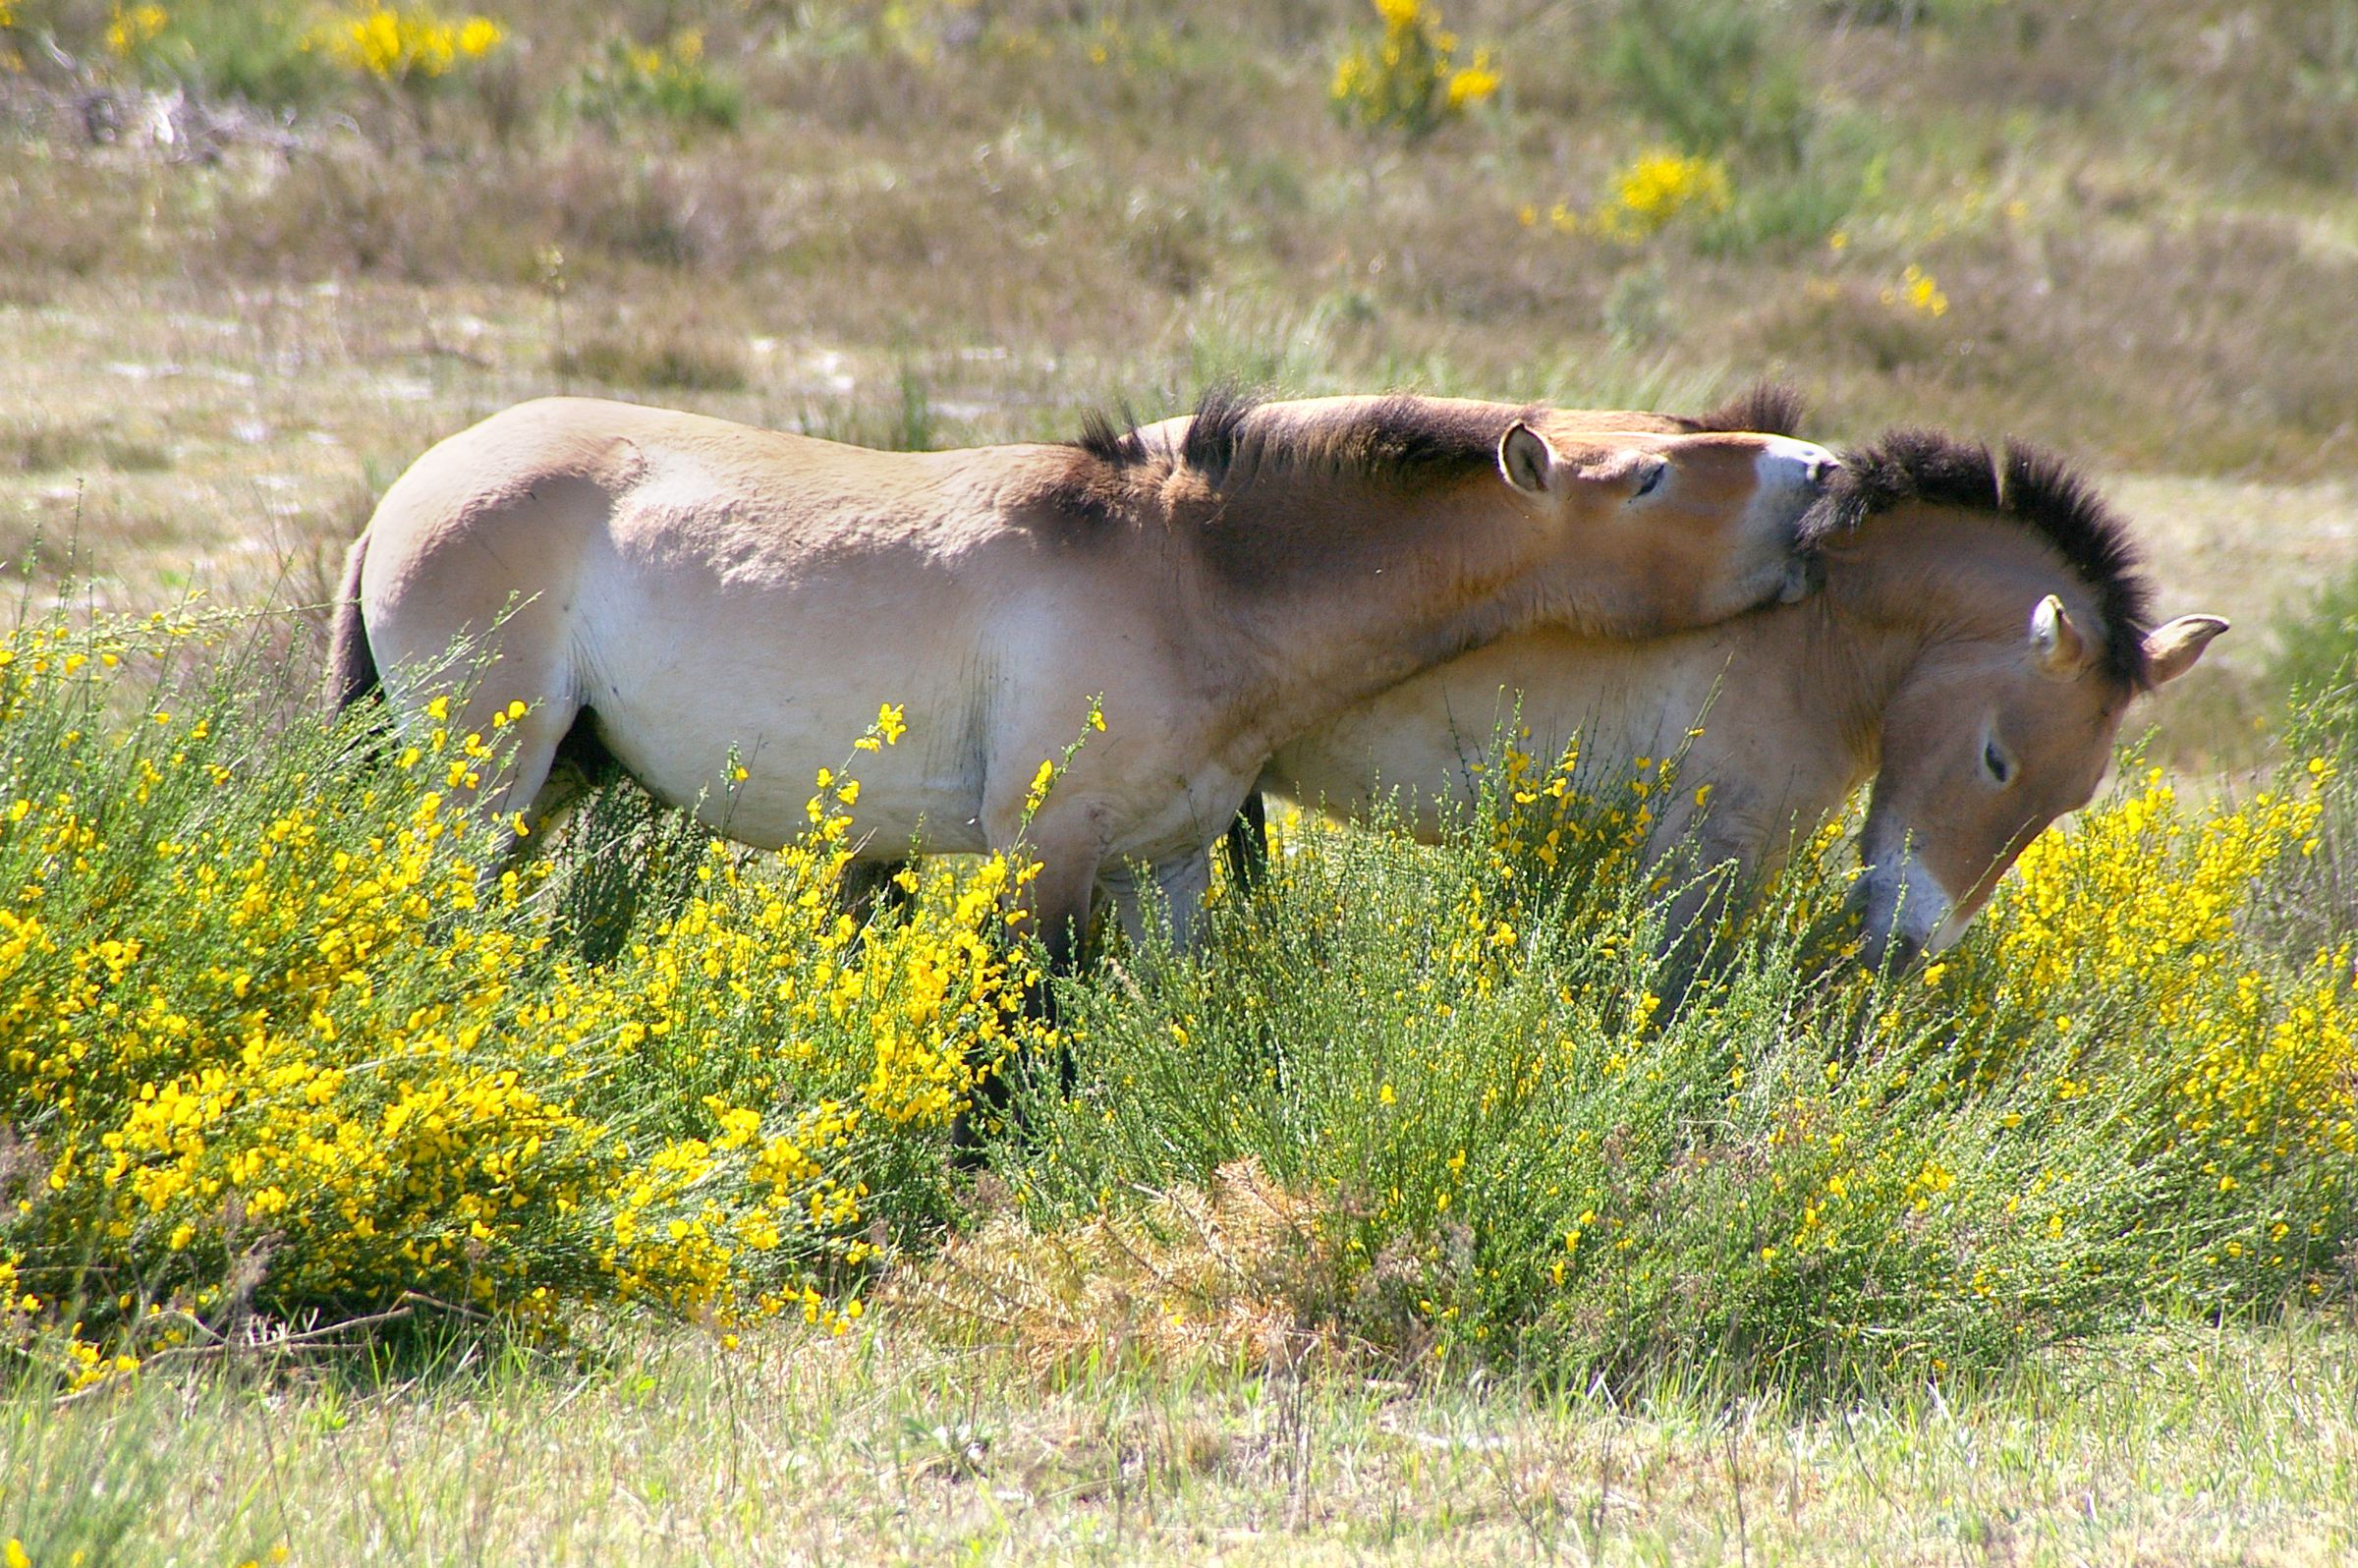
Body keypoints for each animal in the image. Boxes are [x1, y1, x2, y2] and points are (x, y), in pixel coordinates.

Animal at [325, 388, 1838, 975]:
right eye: (1648, 480)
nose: (1825, 471)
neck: (1188, 572)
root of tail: (403, 497)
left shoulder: (1166, 868)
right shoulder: (1038, 856)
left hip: (542, 790)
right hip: (483, 783)